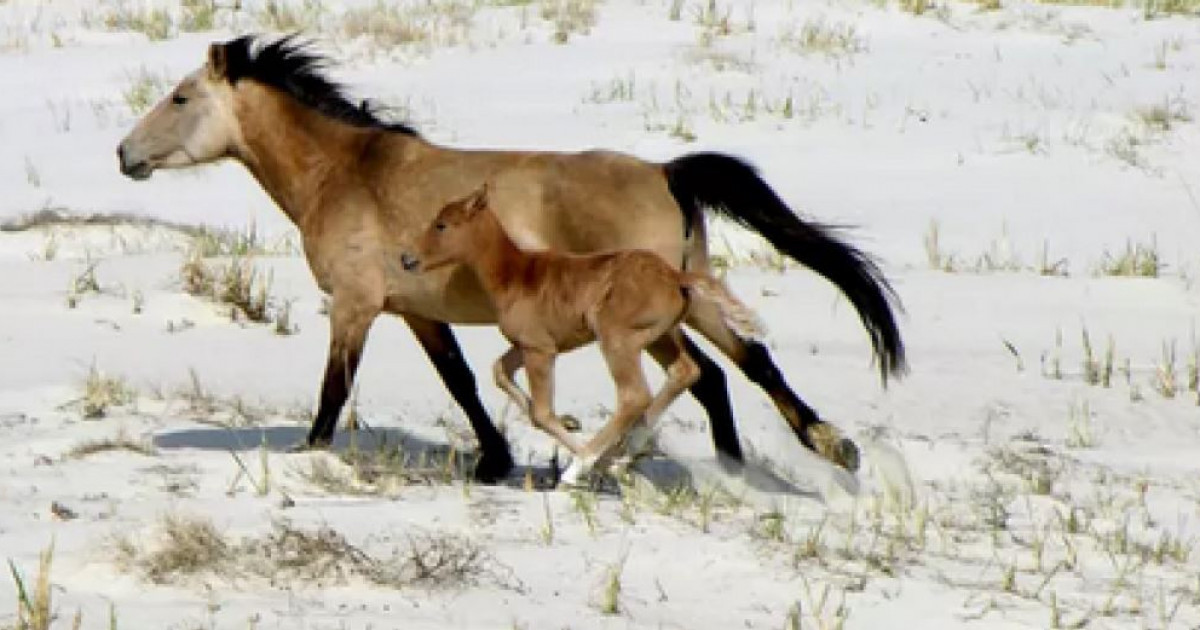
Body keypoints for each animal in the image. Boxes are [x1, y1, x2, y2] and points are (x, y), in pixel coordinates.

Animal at [398, 186, 763, 482]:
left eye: (442, 224)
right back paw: (622, 453)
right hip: (660, 336)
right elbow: (502, 374)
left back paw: (581, 467)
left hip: (616, 339)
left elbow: (542, 413)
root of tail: (675, 276)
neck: (515, 276)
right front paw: (596, 454)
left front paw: (585, 459)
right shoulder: (531, 346)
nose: (406, 259)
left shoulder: (539, 350)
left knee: (634, 395)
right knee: (684, 372)